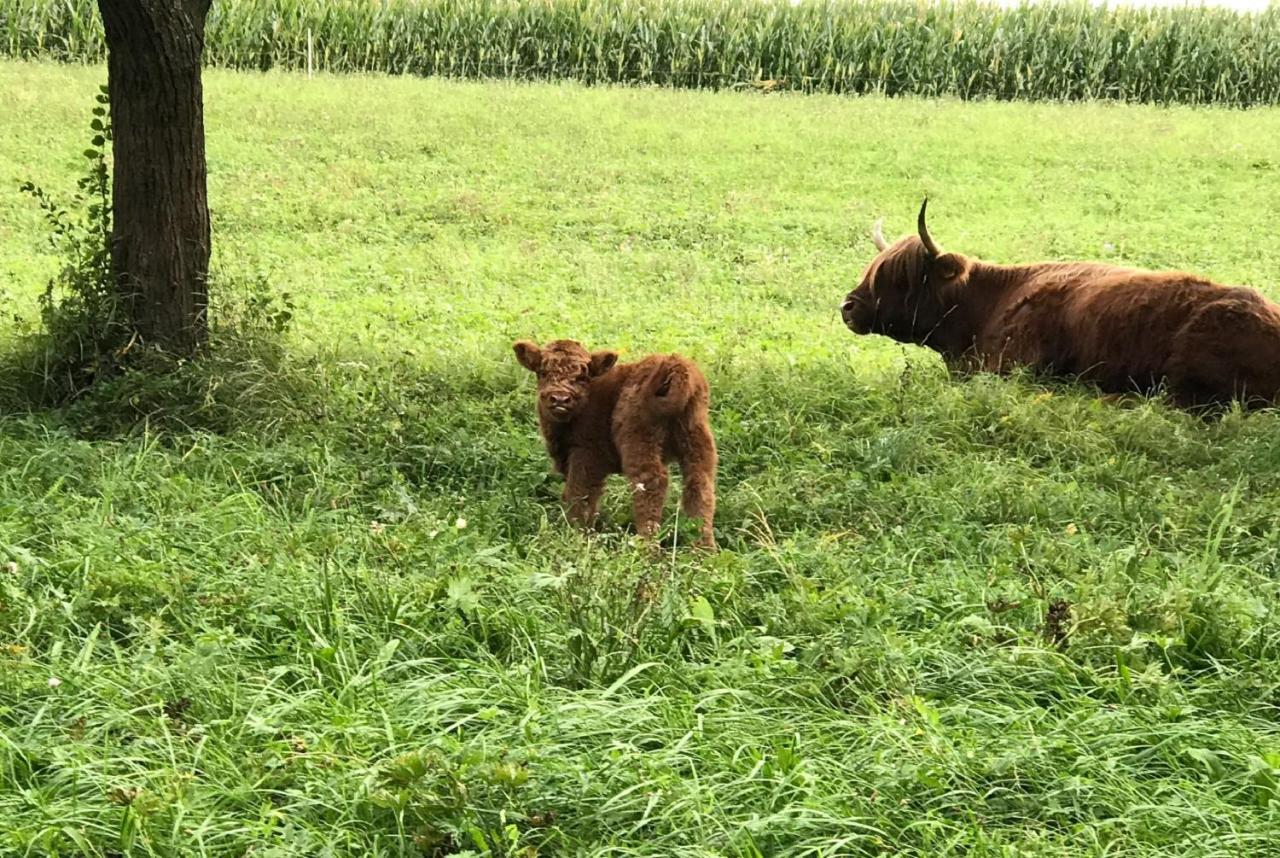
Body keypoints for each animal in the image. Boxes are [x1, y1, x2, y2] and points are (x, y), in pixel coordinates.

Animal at [509, 340, 716, 548]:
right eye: (543, 372)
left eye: (582, 376)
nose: (560, 399)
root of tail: (674, 364)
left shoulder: (586, 456)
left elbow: (578, 493)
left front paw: (576, 533)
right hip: (696, 440)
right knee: (699, 484)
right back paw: (702, 548)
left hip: (637, 439)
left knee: (652, 482)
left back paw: (648, 547)